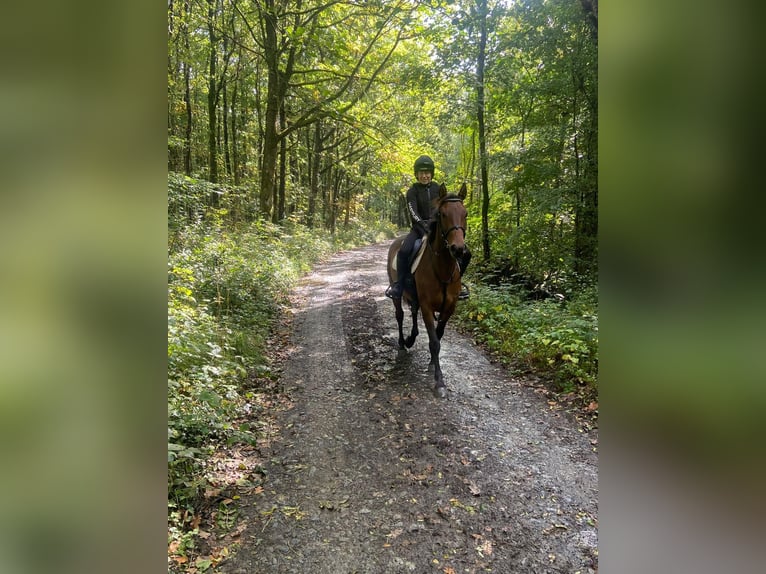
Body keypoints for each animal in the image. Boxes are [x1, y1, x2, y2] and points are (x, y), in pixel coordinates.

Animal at [384, 182, 468, 398]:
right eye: (443, 214)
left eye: (465, 213)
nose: (458, 249)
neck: (442, 268)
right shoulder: (428, 307)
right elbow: (434, 341)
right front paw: (439, 382)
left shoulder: (449, 308)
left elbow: (438, 335)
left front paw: (432, 362)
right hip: (398, 294)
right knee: (400, 315)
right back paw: (402, 344)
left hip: (415, 297)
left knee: (413, 313)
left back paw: (411, 338)